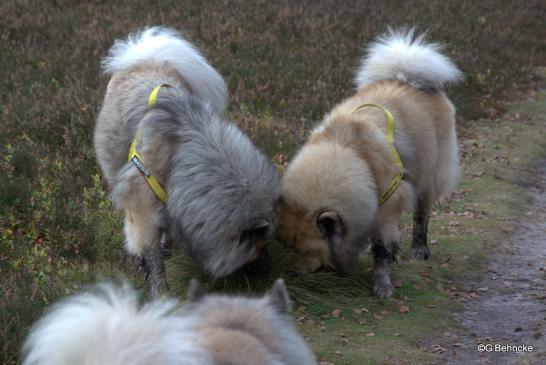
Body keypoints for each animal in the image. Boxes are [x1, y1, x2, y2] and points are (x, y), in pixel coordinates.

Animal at [93, 27, 278, 294]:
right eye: (259, 246)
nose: (270, 269)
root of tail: (145, 58)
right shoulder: (143, 213)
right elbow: (151, 259)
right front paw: (160, 292)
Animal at [278, 27, 462, 296]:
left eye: (308, 252)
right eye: (287, 247)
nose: (291, 273)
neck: (353, 155)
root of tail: (405, 78)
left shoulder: (388, 206)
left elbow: (383, 251)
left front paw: (382, 284)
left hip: (427, 177)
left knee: (422, 216)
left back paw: (420, 249)